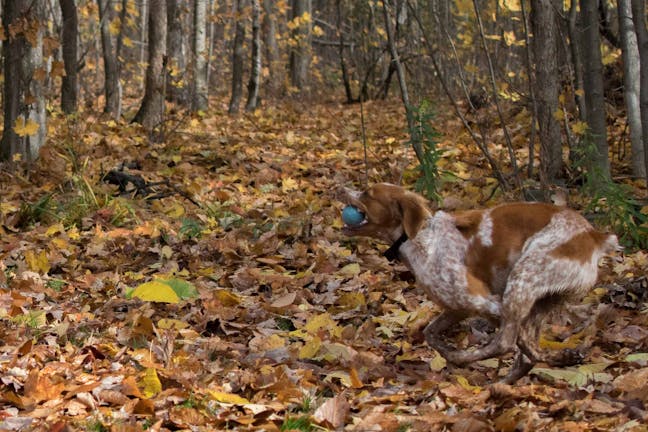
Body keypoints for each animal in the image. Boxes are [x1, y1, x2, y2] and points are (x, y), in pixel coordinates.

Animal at [340, 182, 616, 382]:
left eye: (367, 193)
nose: (339, 188)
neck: (419, 238)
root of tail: (593, 235)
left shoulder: (485, 301)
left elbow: (513, 343)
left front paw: (456, 356)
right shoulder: (458, 308)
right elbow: (430, 333)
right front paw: (447, 352)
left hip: (522, 281)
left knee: (506, 343)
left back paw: (467, 358)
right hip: (540, 300)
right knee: (526, 349)